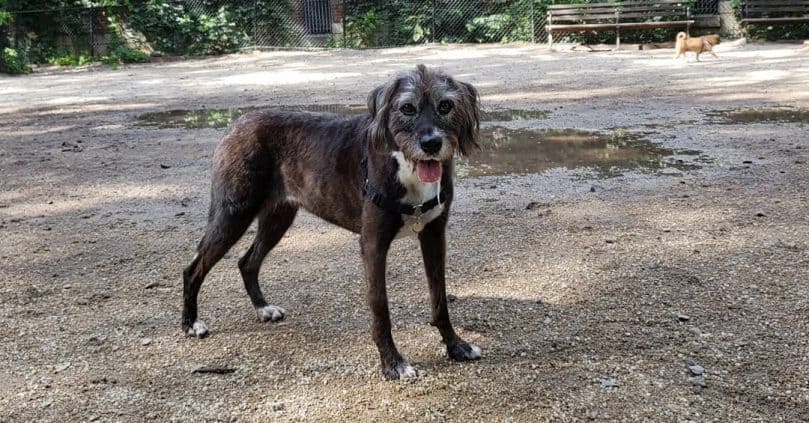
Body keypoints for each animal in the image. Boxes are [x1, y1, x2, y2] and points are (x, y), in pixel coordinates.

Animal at [183, 63, 480, 380]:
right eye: (407, 108)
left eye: (446, 105)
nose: (432, 143)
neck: (406, 167)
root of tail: (239, 123)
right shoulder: (373, 244)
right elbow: (380, 307)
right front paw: (392, 363)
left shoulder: (434, 235)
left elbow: (440, 299)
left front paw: (456, 346)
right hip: (233, 213)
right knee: (193, 268)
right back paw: (190, 323)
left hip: (278, 217)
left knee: (247, 262)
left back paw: (263, 308)